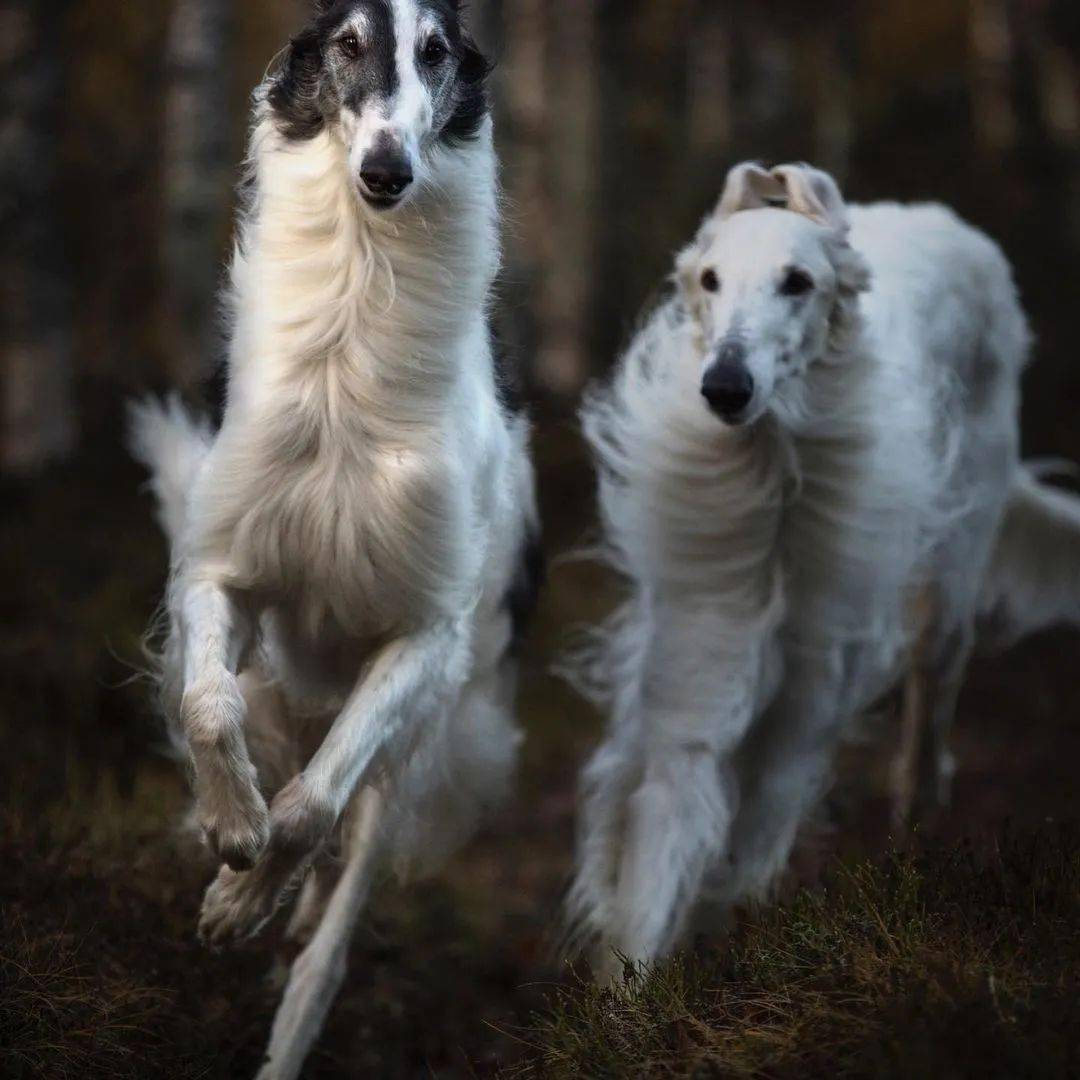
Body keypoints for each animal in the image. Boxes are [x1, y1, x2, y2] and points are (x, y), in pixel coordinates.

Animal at [130, 4, 540, 1075]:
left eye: (435, 51)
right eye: (348, 43)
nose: (387, 171)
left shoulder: (425, 637)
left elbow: (310, 812)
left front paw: (239, 898)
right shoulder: (223, 568)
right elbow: (208, 710)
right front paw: (231, 826)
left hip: (420, 739)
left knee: (333, 914)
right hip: (292, 688)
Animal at [565, 162, 1080, 972]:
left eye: (797, 282)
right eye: (710, 278)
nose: (725, 387)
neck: (775, 485)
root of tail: (952, 224)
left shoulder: (801, 715)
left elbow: (738, 858)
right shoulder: (696, 687)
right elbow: (657, 869)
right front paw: (636, 991)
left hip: (950, 585)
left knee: (928, 724)